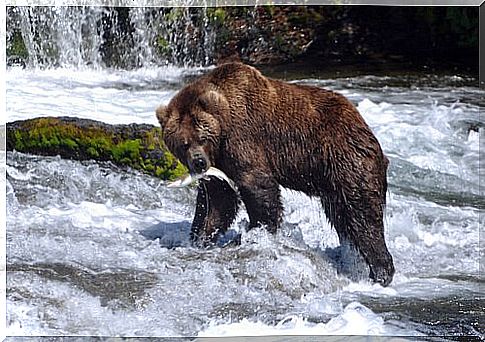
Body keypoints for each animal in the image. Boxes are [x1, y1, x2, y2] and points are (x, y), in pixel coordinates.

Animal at [157, 60, 396, 286]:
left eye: (202, 138)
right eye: (183, 144)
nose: (199, 162)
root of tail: (366, 128)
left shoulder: (243, 138)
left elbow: (258, 187)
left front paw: (256, 231)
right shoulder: (221, 165)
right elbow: (217, 201)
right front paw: (200, 237)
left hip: (345, 159)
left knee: (362, 214)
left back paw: (381, 272)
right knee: (343, 218)